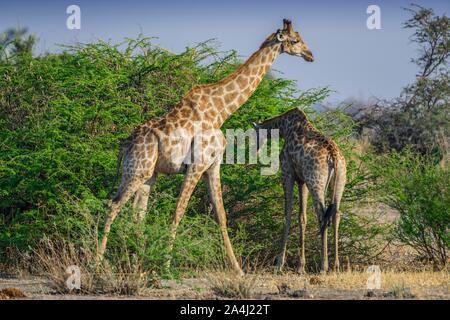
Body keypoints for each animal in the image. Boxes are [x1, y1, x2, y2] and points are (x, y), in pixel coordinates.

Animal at [98, 19, 312, 276]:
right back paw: (98, 262)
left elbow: (221, 215)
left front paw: (238, 269)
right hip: (137, 171)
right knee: (112, 206)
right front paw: (166, 265)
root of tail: (125, 145)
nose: (310, 55)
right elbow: (178, 212)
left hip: (148, 175)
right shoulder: (196, 165)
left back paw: (136, 263)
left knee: (137, 214)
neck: (221, 111)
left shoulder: (213, 165)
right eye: (295, 41)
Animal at [253, 107, 348, 272]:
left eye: (254, 134)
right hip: (338, 182)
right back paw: (335, 266)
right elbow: (302, 217)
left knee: (322, 214)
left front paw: (279, 263)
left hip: (315, 182)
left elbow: (287, 215)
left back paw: (323, 266)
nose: (254, 151)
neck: (284, 127)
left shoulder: (288, 173)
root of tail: (334, 156)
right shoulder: (302, 181)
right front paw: (301, 266)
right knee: (335, 214)